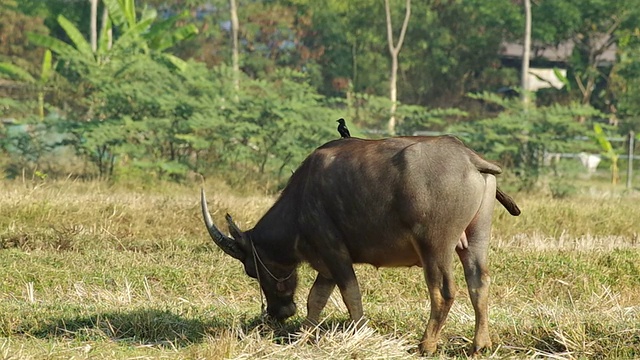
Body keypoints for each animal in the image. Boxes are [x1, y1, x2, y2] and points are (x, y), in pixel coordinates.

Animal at [200, 135, 520, 354]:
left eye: (252, 270)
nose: (278, 313)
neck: (301, 200)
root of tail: (469, 159)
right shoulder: (326, 264)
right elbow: (316, 298)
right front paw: (303, 335)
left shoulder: (334, 252)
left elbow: (350, 294)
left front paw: (360, 333)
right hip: (476, 238)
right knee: (479, 282)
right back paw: (481, 344)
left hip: (434, 245)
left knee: (443, 291)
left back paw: (426, 344)